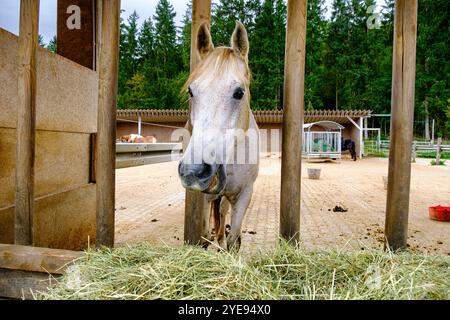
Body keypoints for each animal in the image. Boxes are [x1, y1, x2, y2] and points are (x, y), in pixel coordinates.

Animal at [178, 21, 258, 252]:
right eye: (191, 91)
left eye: (239, 92)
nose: (193, 171)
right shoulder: (203, 196)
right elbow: (204, 236)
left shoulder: (245, 194)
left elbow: (233, 238)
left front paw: (227, 245)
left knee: (222, 212)